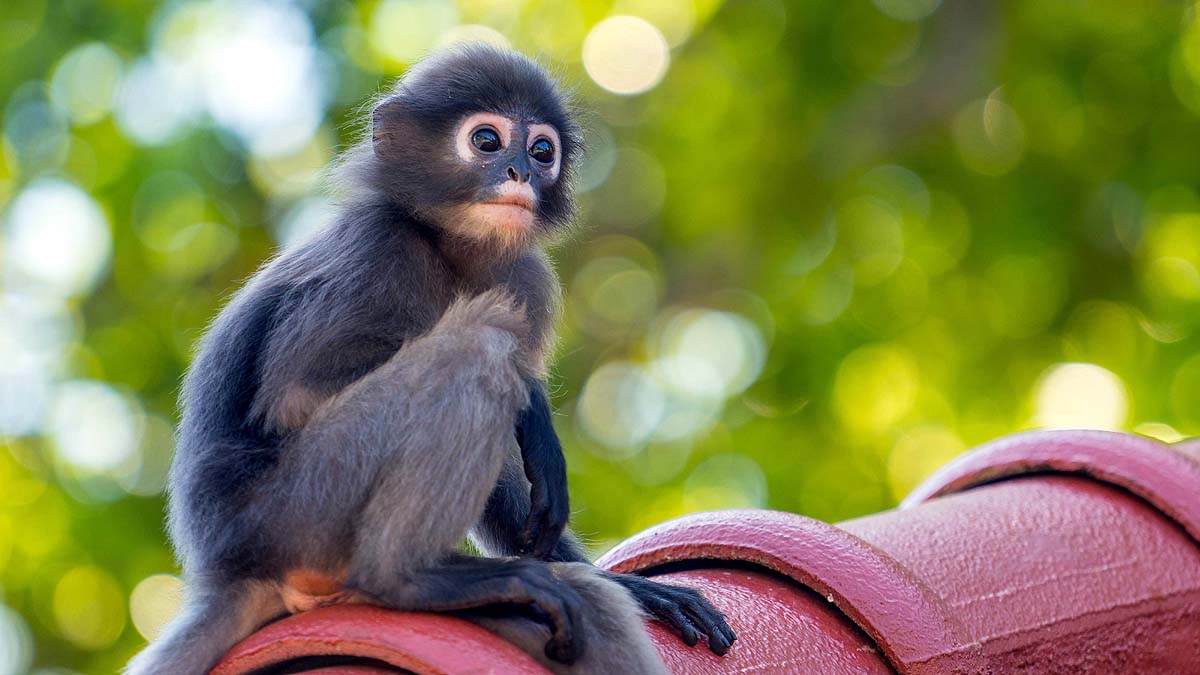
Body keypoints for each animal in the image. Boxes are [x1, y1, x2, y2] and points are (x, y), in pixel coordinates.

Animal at [125, 44, 735, 675]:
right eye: (487, 141)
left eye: (542, 151)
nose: (520, 173)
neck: (446, 248)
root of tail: (228, 569)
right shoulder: (373, 252)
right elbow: (297, 395)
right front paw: (535, 411)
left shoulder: (524, 280)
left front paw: (634, 585)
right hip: (297, 511)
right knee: (477, 350)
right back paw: (405, 578)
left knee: (592, 609)